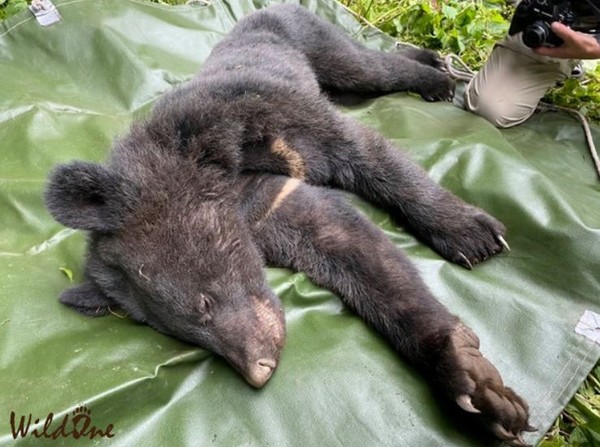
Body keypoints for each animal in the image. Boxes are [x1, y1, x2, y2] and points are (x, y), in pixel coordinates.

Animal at [47, 4, 536, 447]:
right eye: (175, 334)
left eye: (202, 303)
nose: (258, 370)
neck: (219, 169)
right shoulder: (263, 205)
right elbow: (342, 240)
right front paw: (480, 388)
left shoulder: (279, 120)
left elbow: (374, 159)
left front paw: (472, 235)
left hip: (316, 44)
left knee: (371, 68)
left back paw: (436, 76)